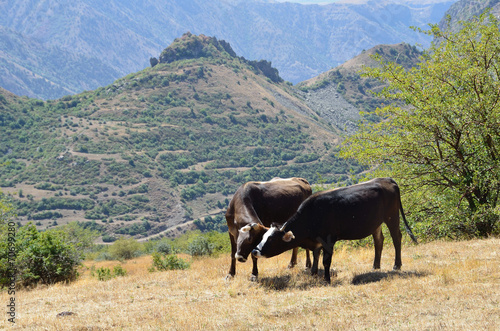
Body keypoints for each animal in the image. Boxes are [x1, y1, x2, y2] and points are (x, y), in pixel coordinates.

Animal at [252, 178, 420, 284]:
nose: (255, 251)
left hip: (392, 217)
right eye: (263, 236)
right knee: (379, 240)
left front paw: (326, 279)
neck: (313, 214)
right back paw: (376, 266)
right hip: (376, 223)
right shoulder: (317, 241)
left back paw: (397, 265)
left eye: (271, 239)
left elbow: (326, 260)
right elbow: (316, 256)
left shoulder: (329, 239)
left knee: (396, 237)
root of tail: (387, 179)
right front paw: (313, 273)